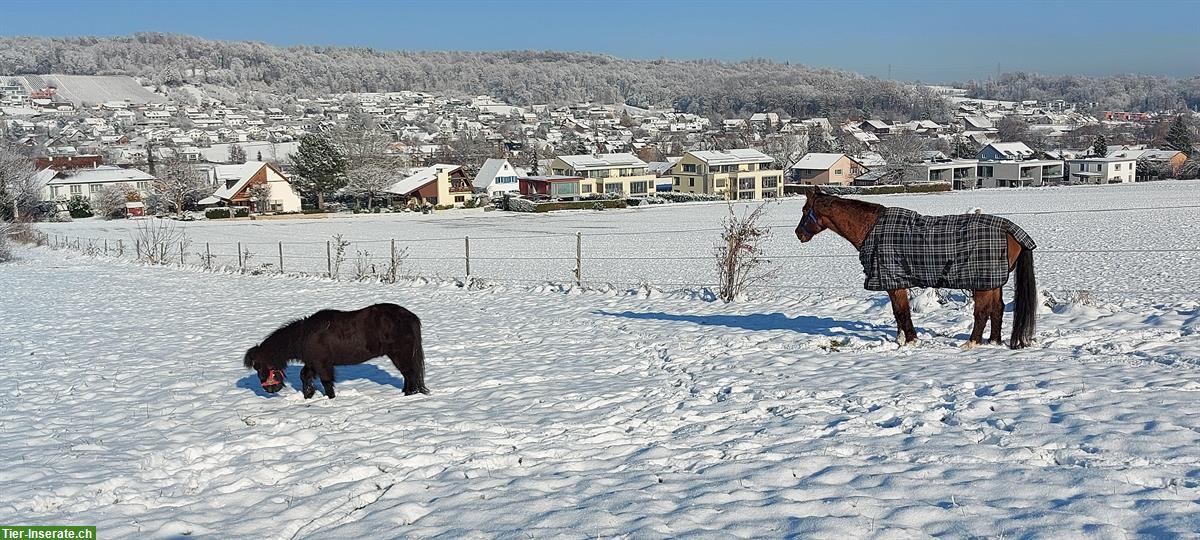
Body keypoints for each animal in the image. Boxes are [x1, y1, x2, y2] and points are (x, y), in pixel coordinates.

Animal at [244, 301, 432, 398]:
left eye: (259, 367)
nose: (269, 390)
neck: (305, 336)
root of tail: (411, 317)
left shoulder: (322, 364)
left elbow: (326, 382)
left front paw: (330, 398)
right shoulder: (312, 363)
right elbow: (304, 376)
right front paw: (308, 395)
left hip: (400, 354)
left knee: (409, 373)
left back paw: (409, 394)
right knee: (408, 374)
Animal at [792, 188, 1036, 350]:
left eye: (804, 210)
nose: (798, 234)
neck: (872, 229)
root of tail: (1009, 229)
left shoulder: (893, 283)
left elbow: (902, 312)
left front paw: (910, 340)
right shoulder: (894, 282)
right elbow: (897, 313)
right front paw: (901, 339)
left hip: (982, 283)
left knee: (982, 313)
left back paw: (971, 342)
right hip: (993, 281)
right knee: (997, 309)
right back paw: (993, 341)